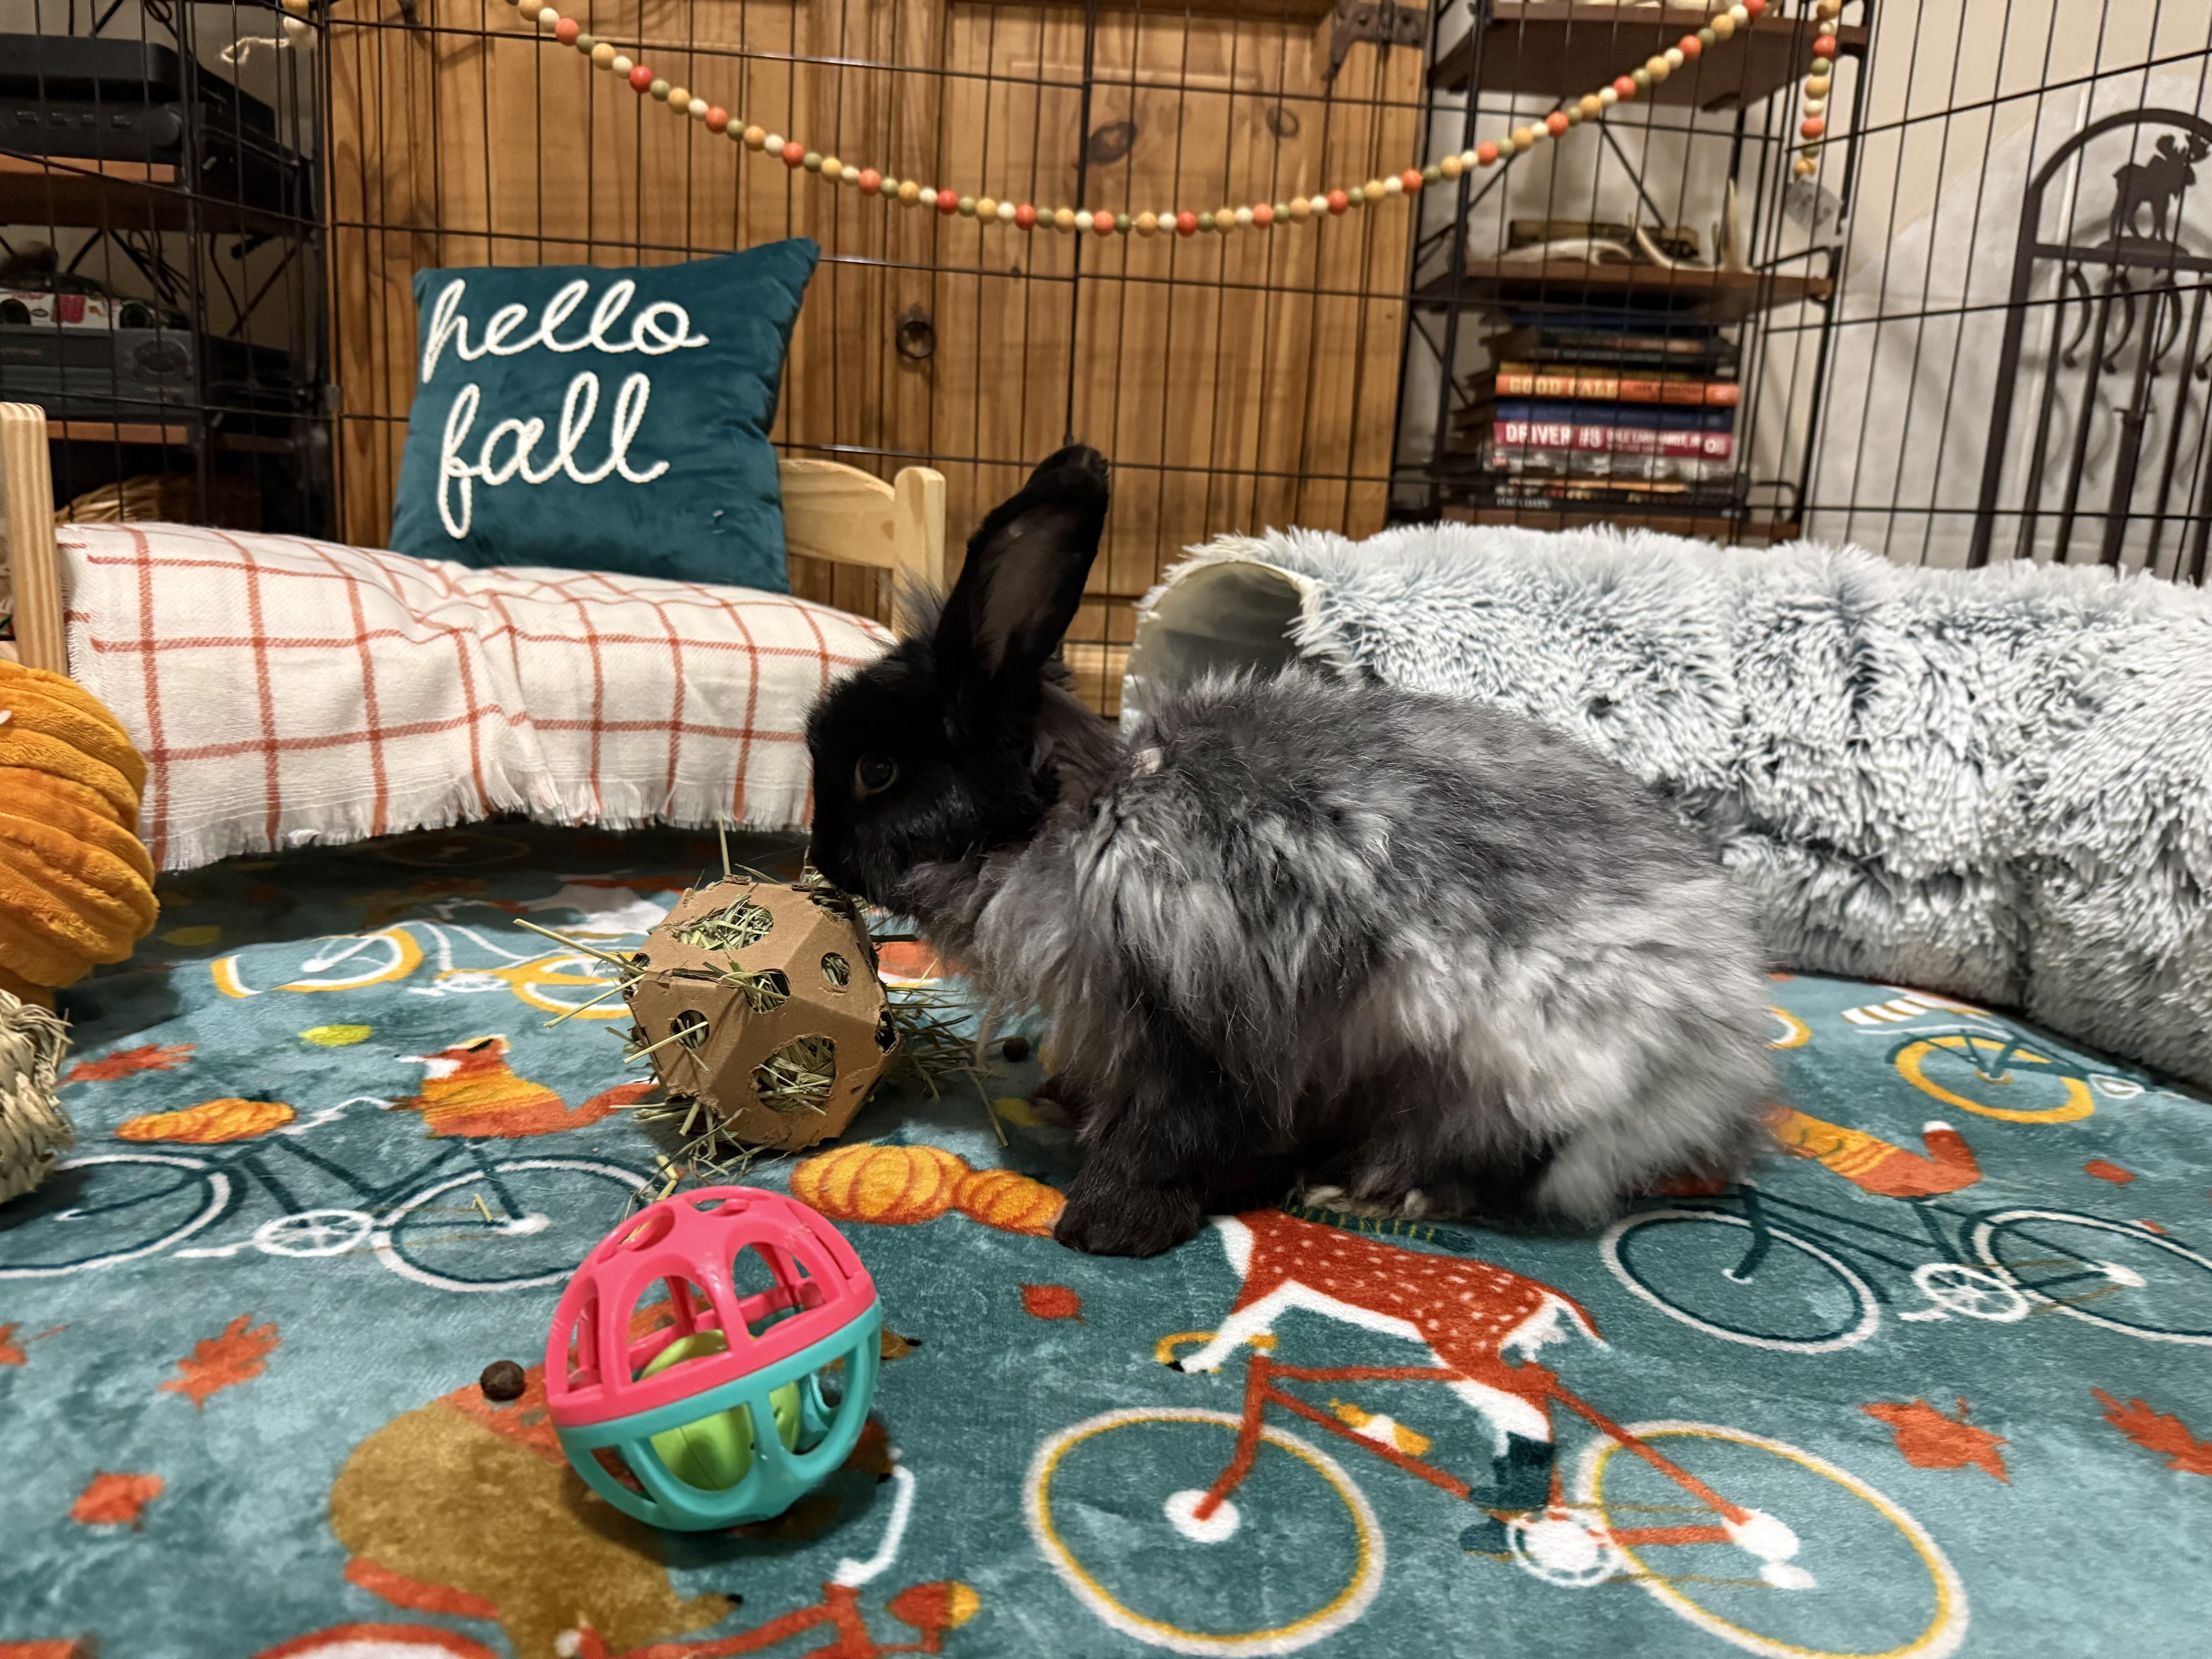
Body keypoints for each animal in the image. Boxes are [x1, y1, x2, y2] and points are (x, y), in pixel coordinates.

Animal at [805, 444, 1774, 1257]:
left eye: (876, 771)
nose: (822, 859)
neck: (1078, 821)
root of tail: (1724, 1033)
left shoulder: (1196, 1012)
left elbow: (1168, 1133)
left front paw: (1105, 1226)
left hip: (1514, 1063)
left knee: (1517, 1161)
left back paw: (1376, 1191)